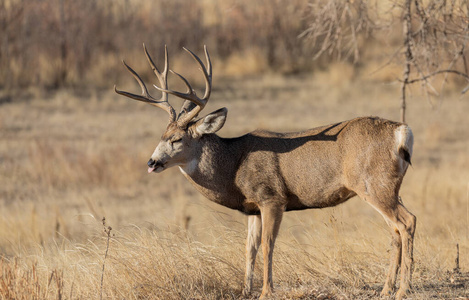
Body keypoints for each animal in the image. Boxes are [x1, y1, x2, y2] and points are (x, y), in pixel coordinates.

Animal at [115, 45, 414, 300]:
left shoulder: (272, 196)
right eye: (161, 135)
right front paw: (246, 290)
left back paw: (403, 289)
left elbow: (269, 244)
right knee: (396, 229)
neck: (233, 167)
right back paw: (387, 289)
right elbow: (250, 247)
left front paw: (266, 291)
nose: (152, 162)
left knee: (406, 222)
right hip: (388, 187)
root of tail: (401, 132)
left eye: (176, 139)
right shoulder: (252, 207)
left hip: (373, 184)